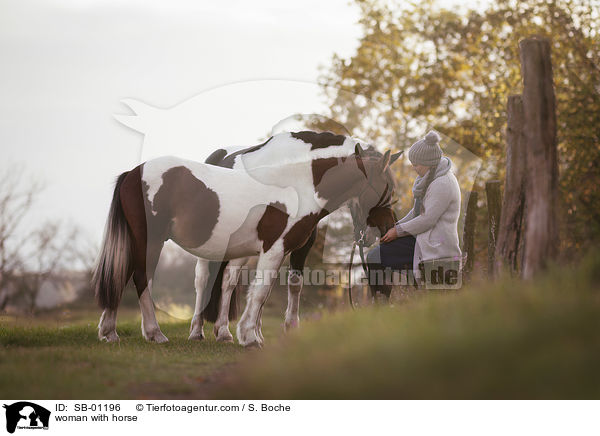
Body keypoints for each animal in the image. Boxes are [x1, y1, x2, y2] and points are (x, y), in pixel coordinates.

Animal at [94, 130, 400, 348]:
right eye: (385, 186)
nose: (387, 229)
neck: (297, 186)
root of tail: (133, 173)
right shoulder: (274, 249)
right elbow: (262, 291)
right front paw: (250, 337)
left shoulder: (272, 252)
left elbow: (261, 290)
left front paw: (245, 333)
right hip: (152, 240)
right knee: (143, 278)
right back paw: (155, 333)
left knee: (121, 274)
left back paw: (110, 333)